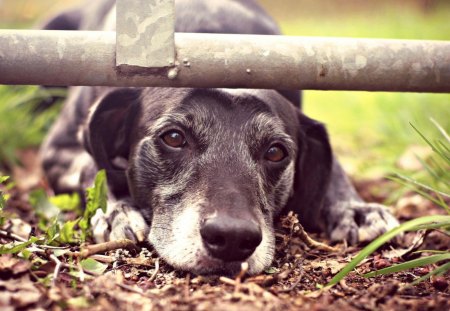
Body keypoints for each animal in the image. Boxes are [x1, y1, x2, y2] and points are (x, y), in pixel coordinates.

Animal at [39, 0, 398, 276]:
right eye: (174, 137)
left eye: (276, 151)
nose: (232, 239)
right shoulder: (59, 152)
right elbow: (93, 167)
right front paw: (116, 210)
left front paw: (354, 207)